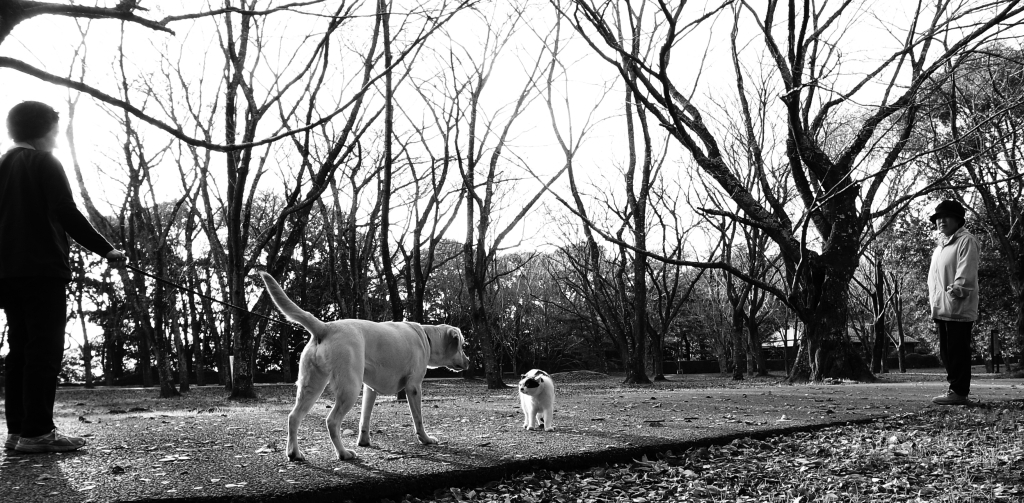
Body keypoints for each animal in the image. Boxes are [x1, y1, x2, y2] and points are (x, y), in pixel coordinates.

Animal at [258, 274, 468, 463]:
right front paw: (425, 439)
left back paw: (294, 453)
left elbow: (364, 418)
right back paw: (343, 453)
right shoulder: (414, 387)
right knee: (332, 422)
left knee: (293, 417)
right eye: (462, 345)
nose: (469, 360)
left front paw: (364, 441)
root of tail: (326, 327)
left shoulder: (370, 389)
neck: (426, 336)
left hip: (311, 387)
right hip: (349, 389)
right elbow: (418, 418)